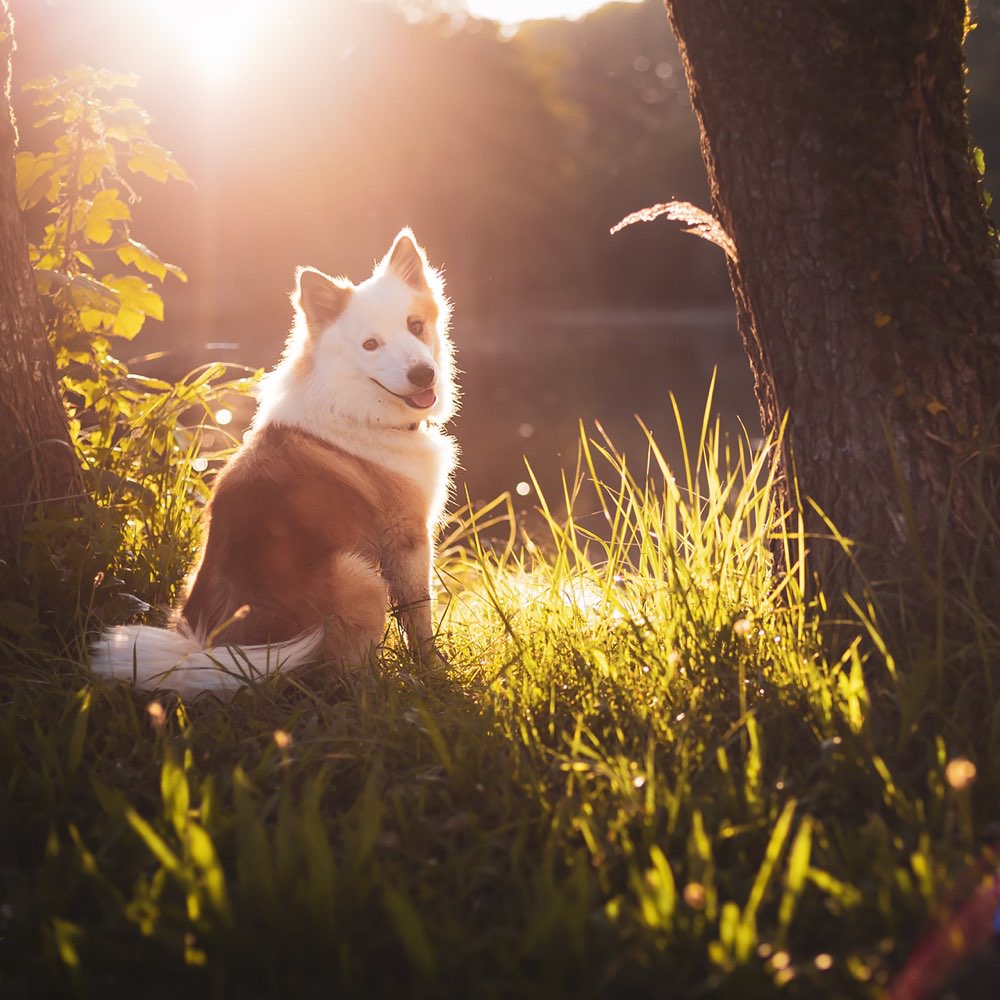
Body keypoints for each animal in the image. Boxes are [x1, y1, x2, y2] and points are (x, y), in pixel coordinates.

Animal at [90, 229, 458, 696]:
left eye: (415, 325)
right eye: (371, 344)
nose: (423, 375)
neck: (352, 407)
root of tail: (226, 654)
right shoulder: (407, 537)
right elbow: (419, 615)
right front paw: (434, 670)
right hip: (360, 577)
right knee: (342, 678)